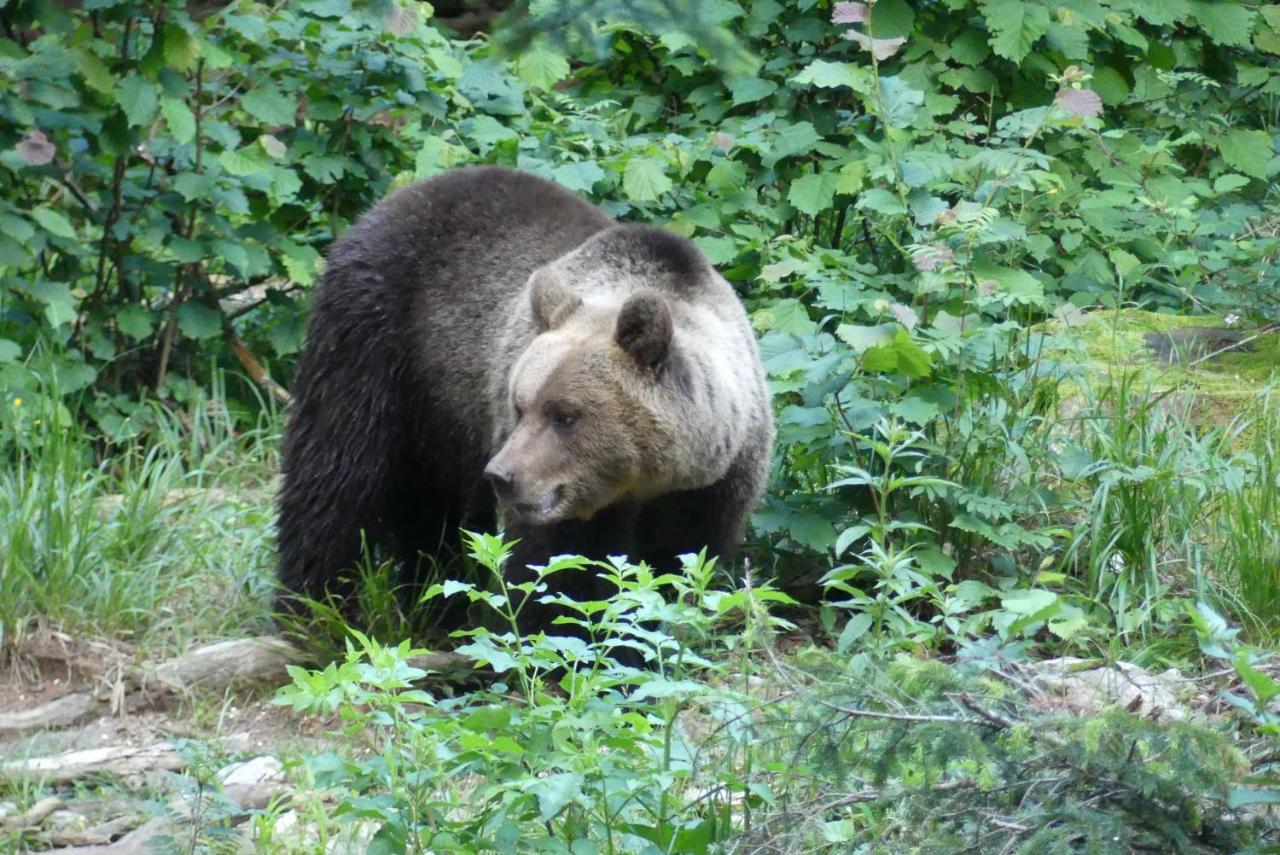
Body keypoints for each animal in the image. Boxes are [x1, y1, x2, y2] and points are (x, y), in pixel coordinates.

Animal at [276, 166, 773, 632]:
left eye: (565, 415)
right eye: (520, 405)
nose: (503, 475)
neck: (646, 480)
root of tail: (394, 199)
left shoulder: (712, 489)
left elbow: (673, 567)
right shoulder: (563, 498)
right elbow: (550, 569)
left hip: (439, 415)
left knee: (427, 510)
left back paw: (435, 605)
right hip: (377, 339)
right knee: (336, 475)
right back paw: (311, 612)